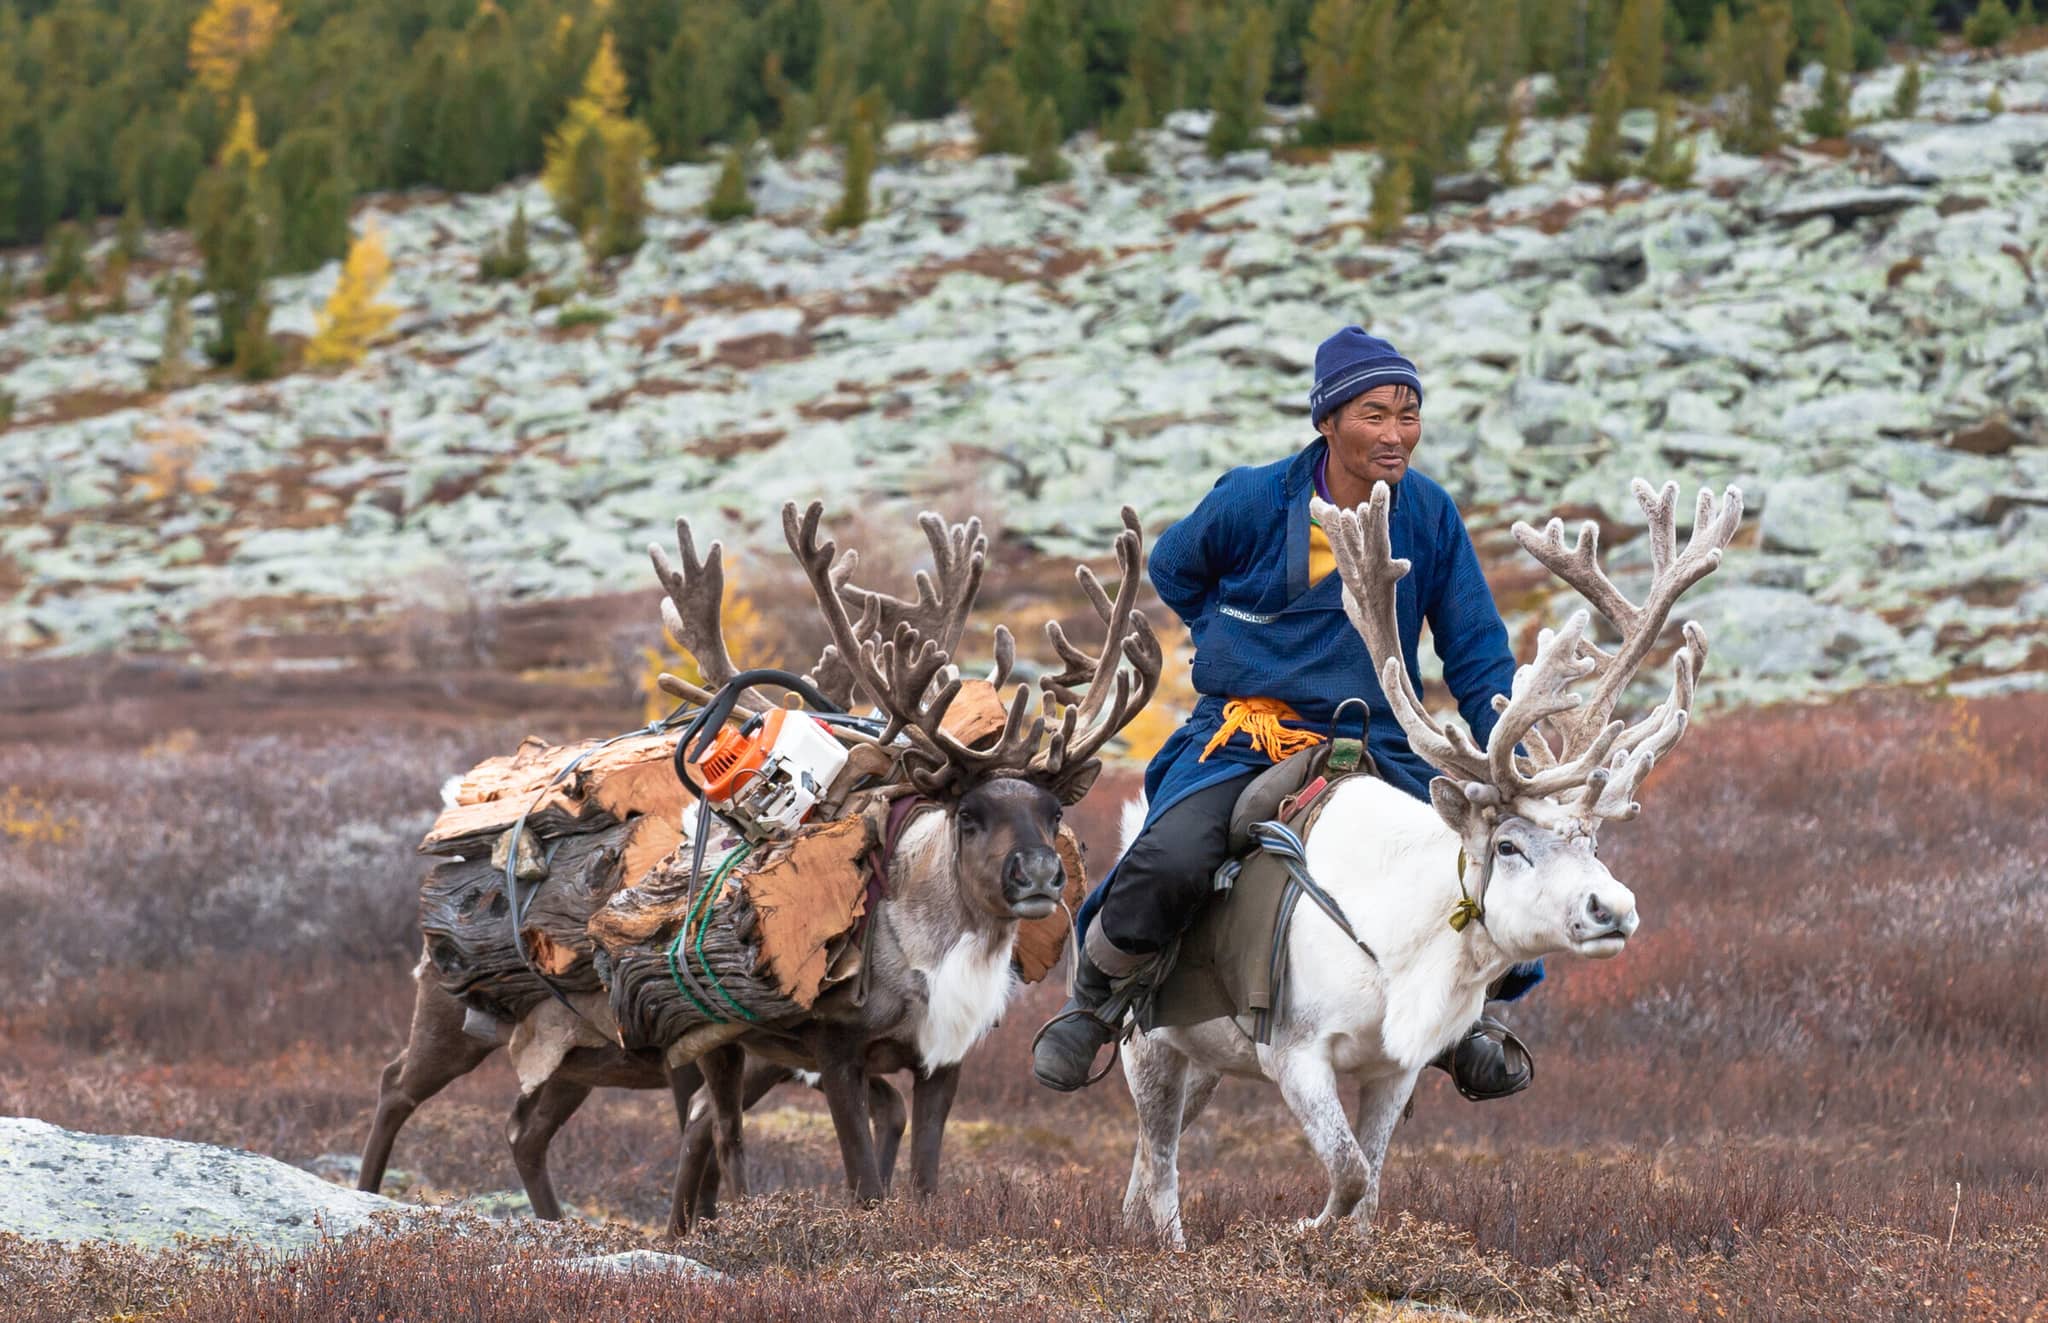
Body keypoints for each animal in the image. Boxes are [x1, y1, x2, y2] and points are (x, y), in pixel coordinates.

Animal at [358, 500, 1160, 1228]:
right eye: (970, 813)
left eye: (1054, 814)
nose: (1040, 877)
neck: (930, 954)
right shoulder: (835, 1051)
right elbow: (862, 1179)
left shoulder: (939, 1060)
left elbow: (923, 1177)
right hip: (458, 1011)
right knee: (400, 1086)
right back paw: (369, 1194)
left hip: (590, 1054)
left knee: (540, 1129)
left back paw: (577, 1223)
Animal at [1119, 478, 1742, 1247]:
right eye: (1507, 845)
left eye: (1592, 842)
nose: (1614, 908)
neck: (1401, 946)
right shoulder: (1295, 1054)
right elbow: (1348, 1173)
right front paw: (1295, 1230)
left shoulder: (1395, 1069)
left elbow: (1369, 1187)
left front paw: (1348, 1250)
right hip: (1149, 1040)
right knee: (1161, 1156)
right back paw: (1168, 1248)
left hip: (1204, 1056)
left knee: (1150, 1153)